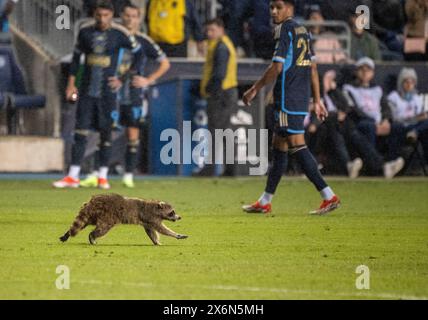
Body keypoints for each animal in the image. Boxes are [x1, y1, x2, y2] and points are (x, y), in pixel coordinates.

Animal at [59, 192, 188, 245]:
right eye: (172, 212)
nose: (179, 217)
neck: (156, 207)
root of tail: (93, 201)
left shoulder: (147, 222)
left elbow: (151, 232)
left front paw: (156, 241)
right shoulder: (152, 217)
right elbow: (162, 229)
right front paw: (176, 234)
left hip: (92, 215)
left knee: (82, 223)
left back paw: (67, 234)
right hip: (107, 216)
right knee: (102, 229)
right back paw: (92, 236)